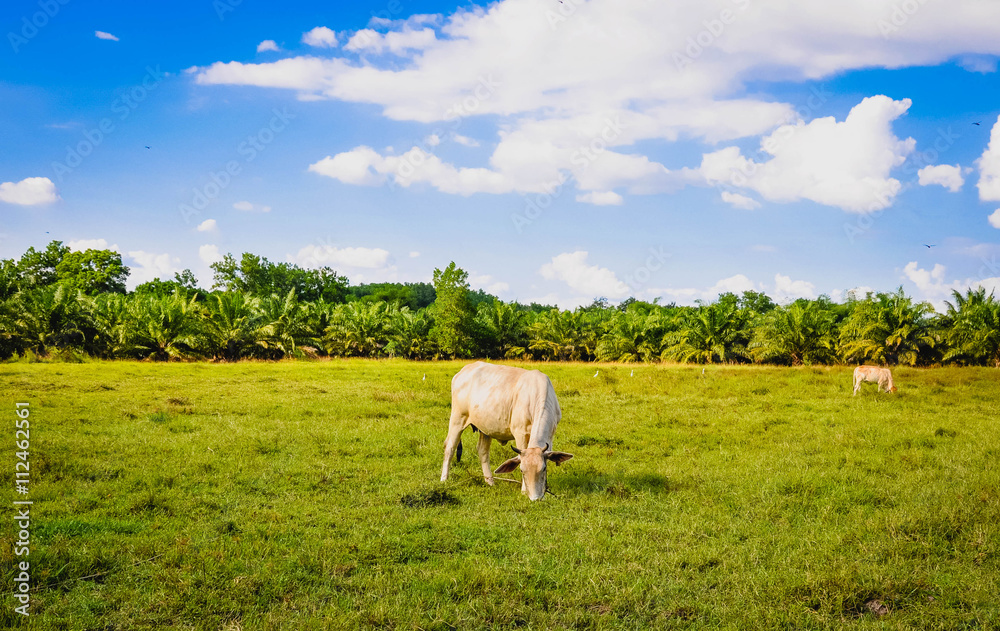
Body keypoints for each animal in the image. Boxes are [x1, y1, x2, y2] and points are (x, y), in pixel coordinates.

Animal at [440, 361, 573, 501]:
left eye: (543, 469)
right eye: (521, 470)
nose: (535, 498)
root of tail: (463, 371)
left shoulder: (551, 434)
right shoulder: (520, 433)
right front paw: (524, 490)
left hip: (485, 428)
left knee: (482, 451)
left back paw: (490, 481)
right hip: (457, 419)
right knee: (450, 447)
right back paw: (444, 479)